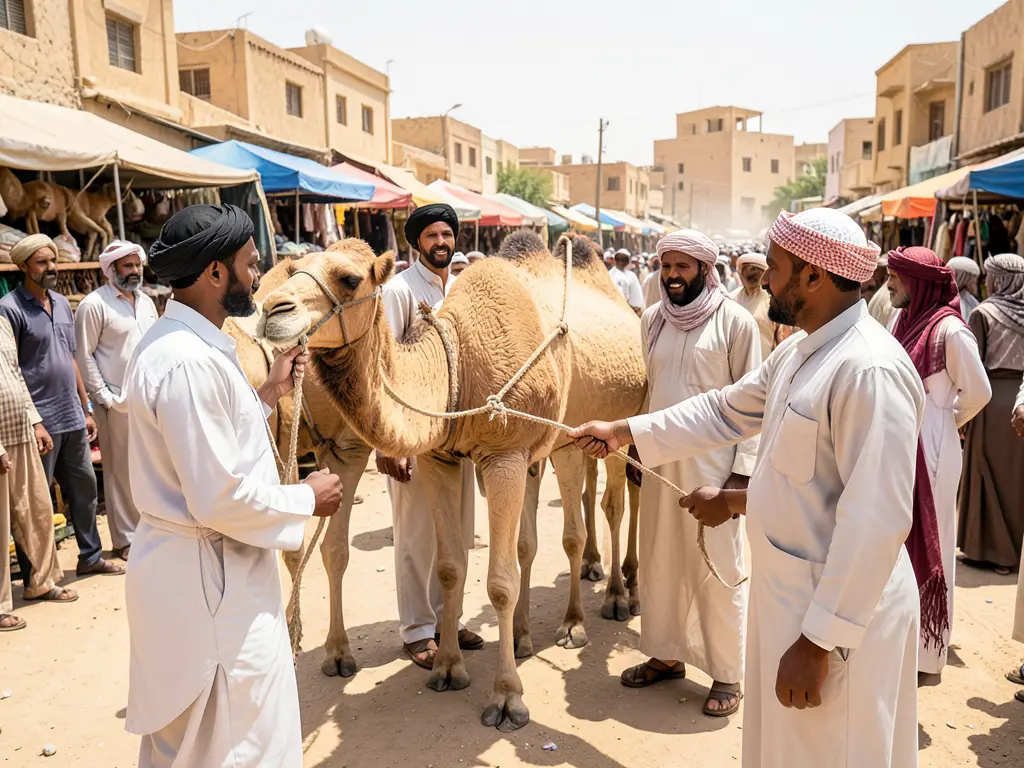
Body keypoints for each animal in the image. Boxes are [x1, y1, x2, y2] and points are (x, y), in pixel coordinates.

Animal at [257, 231, 647, 730]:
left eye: (349, 278)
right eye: (293, 269)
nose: (272, 309)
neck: (456, 361)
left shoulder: (504, 455)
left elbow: (500, 582)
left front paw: (507, 698)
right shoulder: (440, 458)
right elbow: (449, 567)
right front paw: (446, 666)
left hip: (602, 428)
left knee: (608, 508)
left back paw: (603, 606)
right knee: (536, 539)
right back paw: (524, 636)